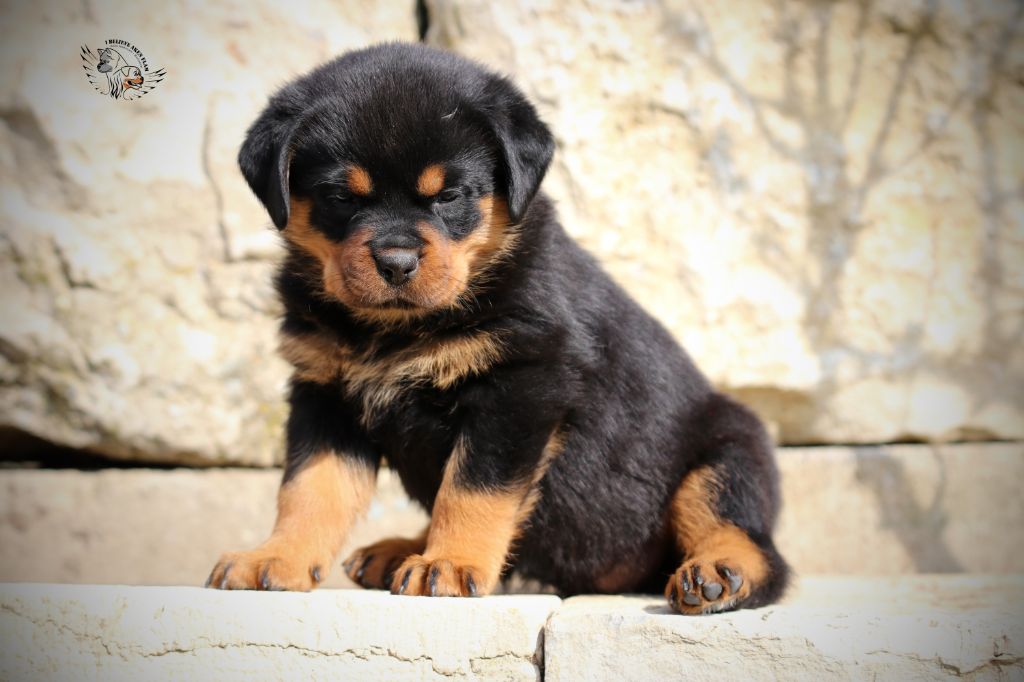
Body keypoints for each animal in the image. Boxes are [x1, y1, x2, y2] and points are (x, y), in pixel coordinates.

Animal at [207, 43, 790, 614]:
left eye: (449, 196)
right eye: (342, 197)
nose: (396, 262)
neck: (397, 328)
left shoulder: (521, 385)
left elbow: (472, 489)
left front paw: (450, 564)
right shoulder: (325, 393)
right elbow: (309, 489)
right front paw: (275, 558)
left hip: (729, 449)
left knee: (747, 537)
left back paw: (718, 573)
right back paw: (398, 551)